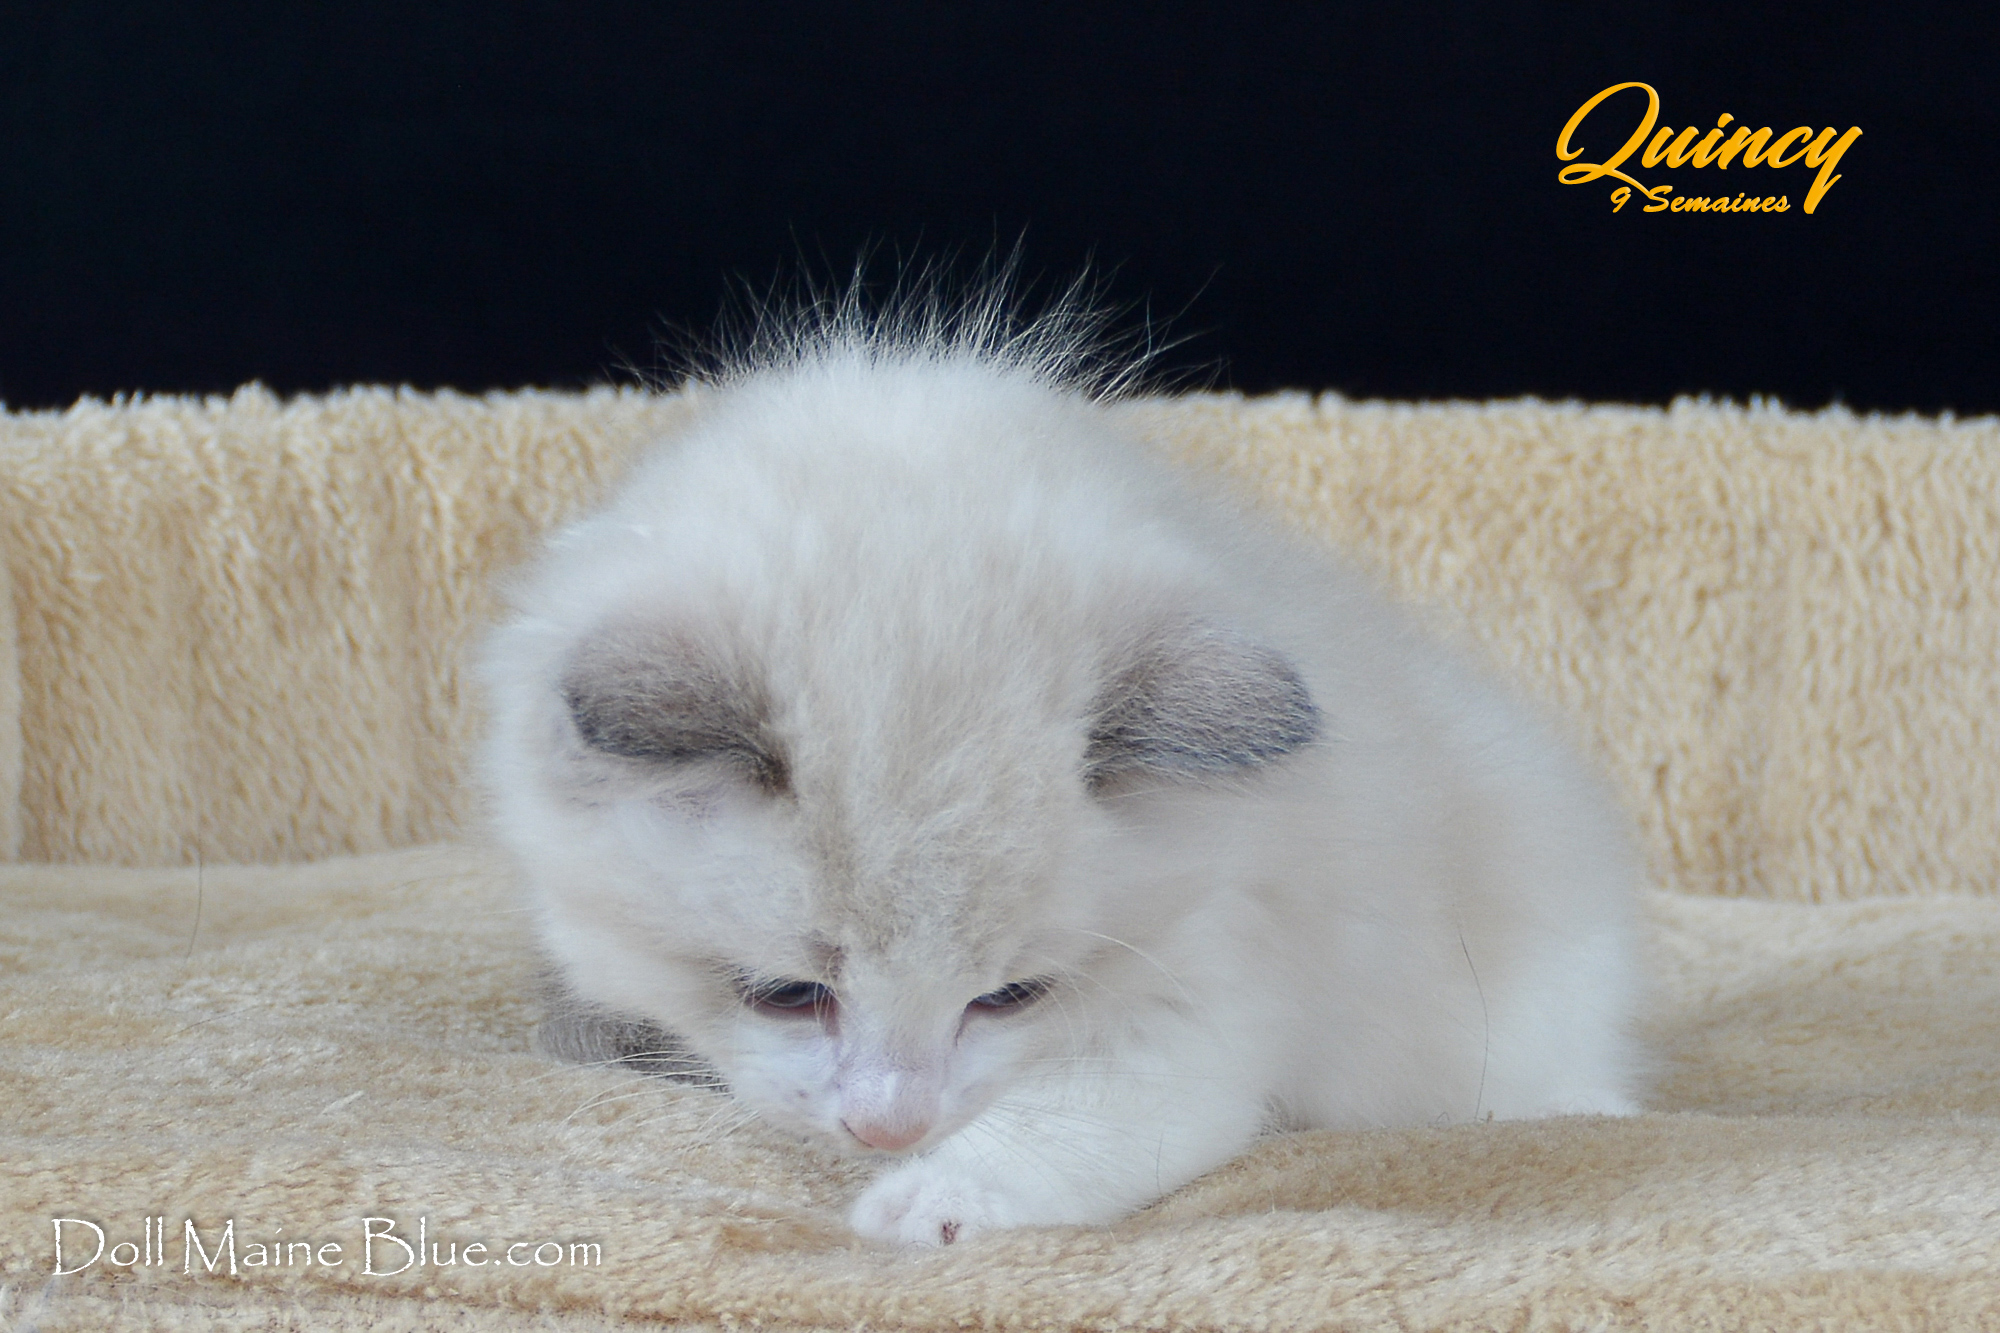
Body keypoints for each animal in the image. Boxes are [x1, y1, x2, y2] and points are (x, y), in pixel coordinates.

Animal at [479, 291, 1646, 1246]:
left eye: (1009, 997)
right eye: (786, 994)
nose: (886, 1127)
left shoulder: (1216, 984)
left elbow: (1077, 1124)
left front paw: (931, 1202)